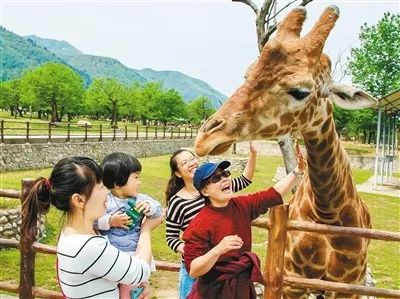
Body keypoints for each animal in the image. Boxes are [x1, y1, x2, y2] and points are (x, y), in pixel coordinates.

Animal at [194, 5, 378, 298]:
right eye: (247, 74)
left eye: (300, 91)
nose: (205, 137)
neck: (329, 213)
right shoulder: (292, 281)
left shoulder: (348, 287)